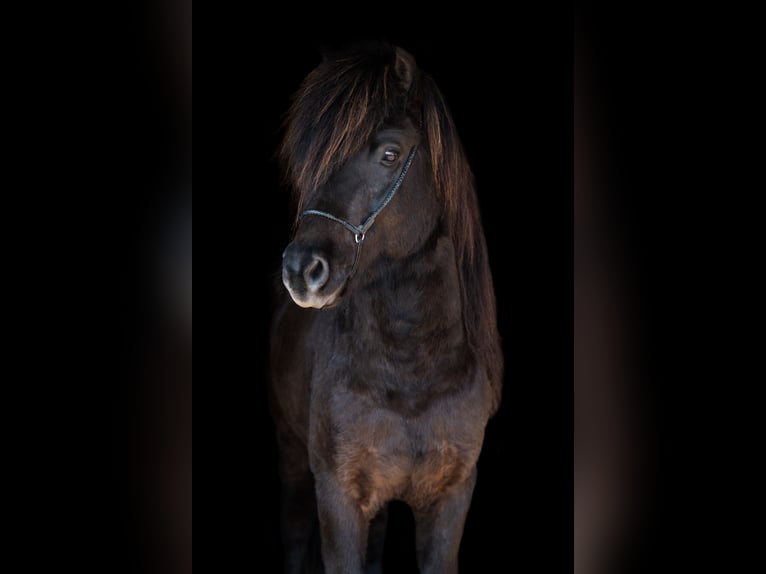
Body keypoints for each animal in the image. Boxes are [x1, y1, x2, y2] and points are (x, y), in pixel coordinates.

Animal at [269, 43, 503, 574]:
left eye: (389, 154)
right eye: (310, 159)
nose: (301, 270)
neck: (411, 371)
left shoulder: (451, 497)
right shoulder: (337, 497)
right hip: (291, 460)